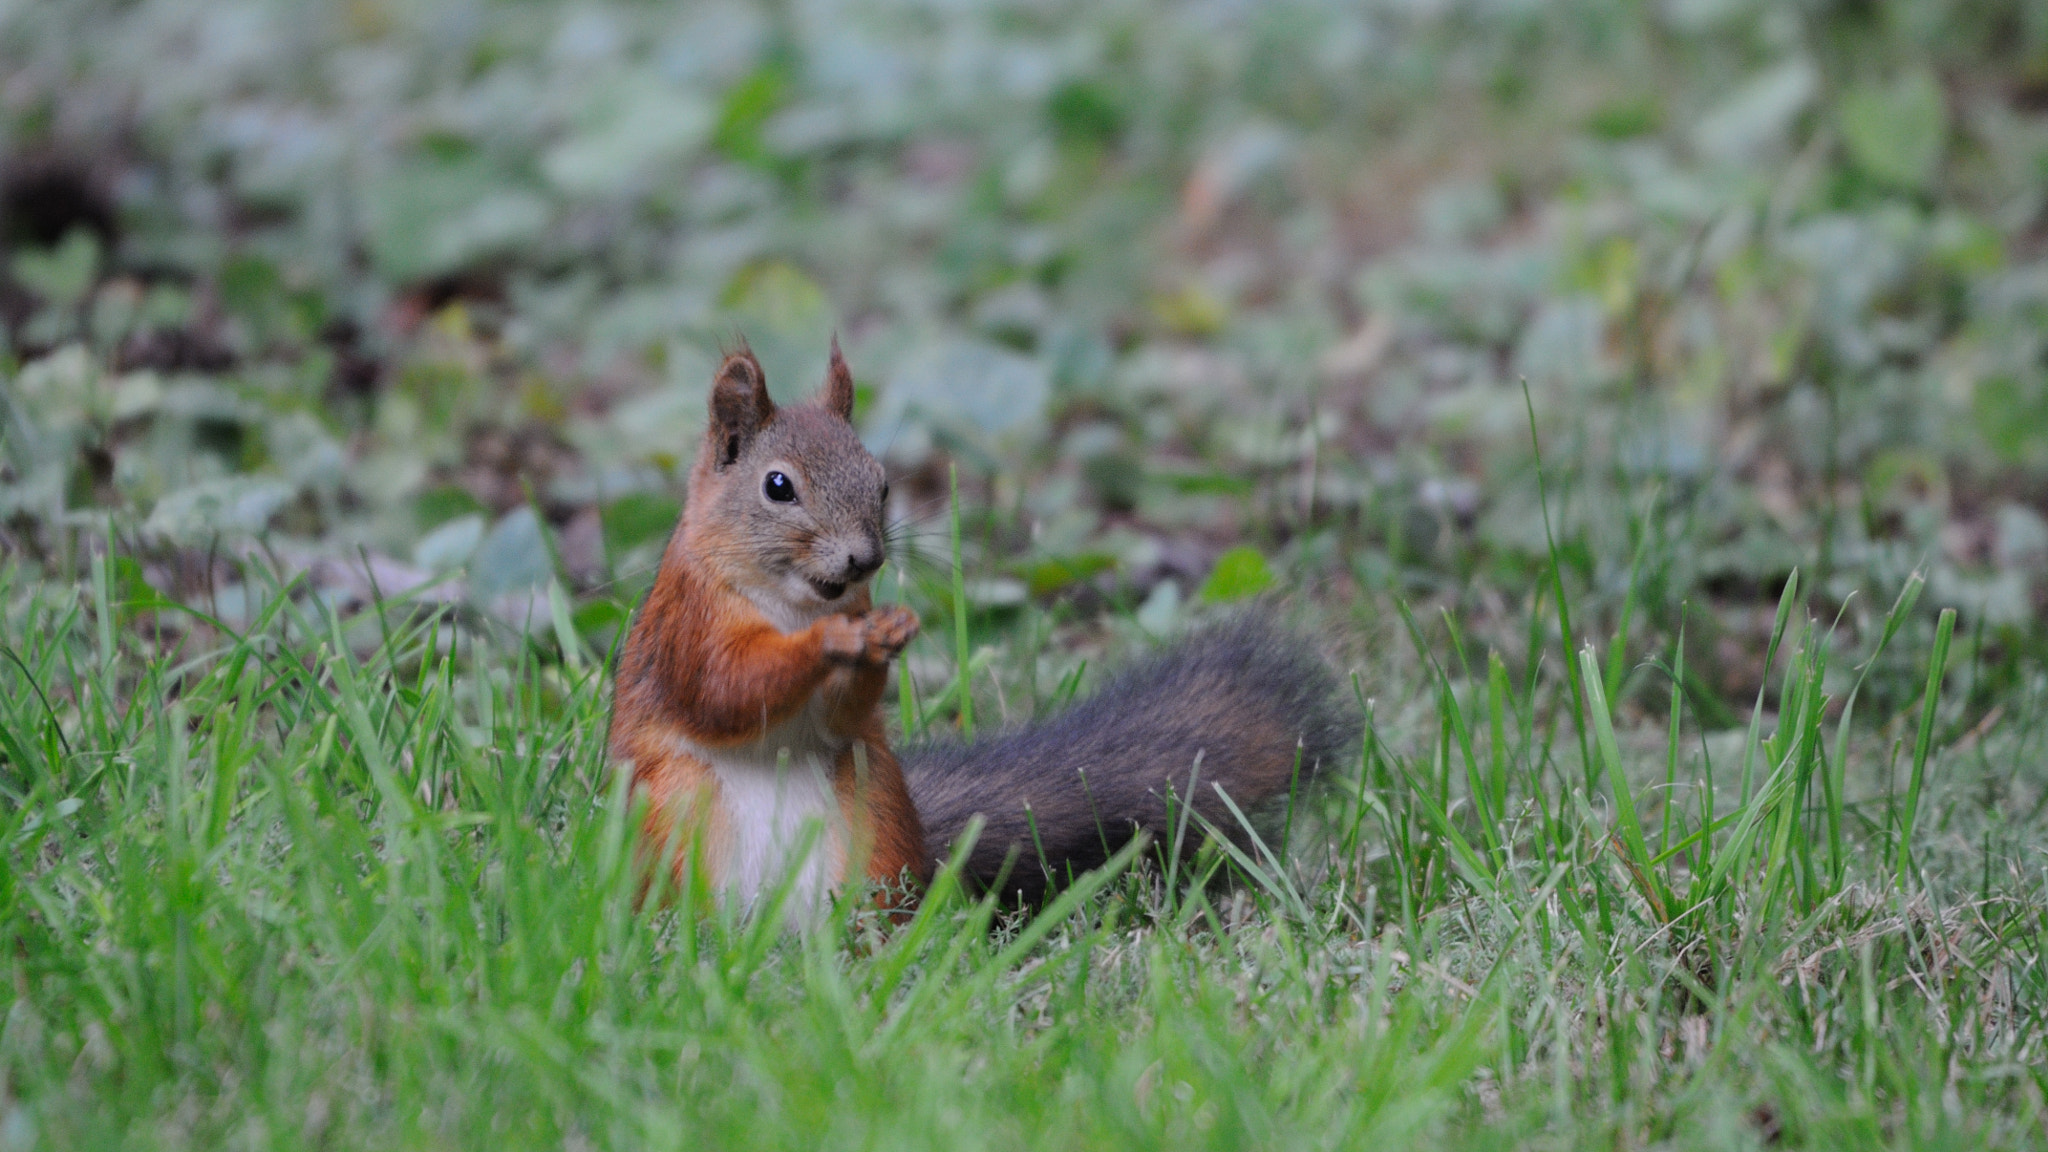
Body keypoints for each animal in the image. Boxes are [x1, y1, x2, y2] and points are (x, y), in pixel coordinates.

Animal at [606, 336, 1359, 910]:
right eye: (777, 486)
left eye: (882, 482)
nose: (865, 558)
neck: (794, 602)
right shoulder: (688, 624)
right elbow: (724, 689)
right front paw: (831, 643)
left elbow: (841, 714)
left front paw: (880, 642)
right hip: (676, 813)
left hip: (874, 817)